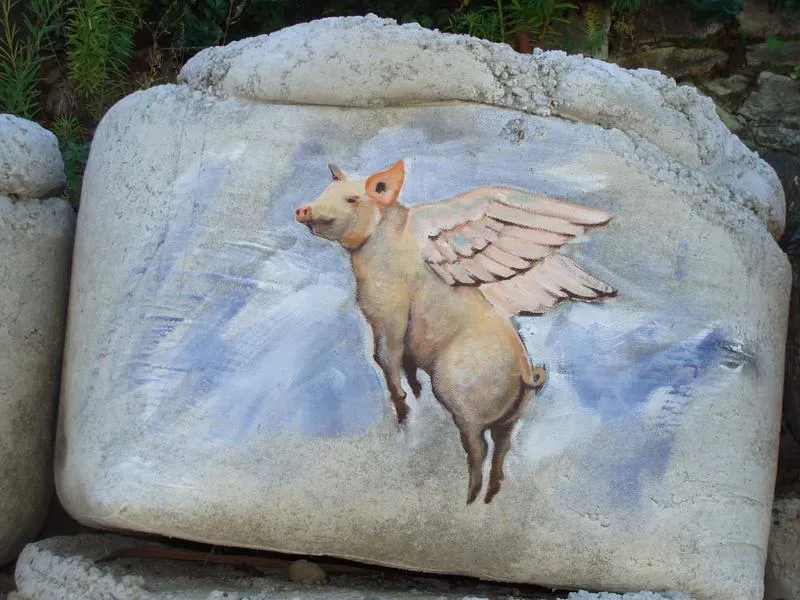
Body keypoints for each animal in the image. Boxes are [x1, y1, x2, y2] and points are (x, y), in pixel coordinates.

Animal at [295, 159, 616, 504]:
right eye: (326, 190)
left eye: (352, 199)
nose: (302, 208)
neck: (379, 242)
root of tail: (524, 372)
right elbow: (401, 360)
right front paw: (413, 395)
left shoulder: (388, 306)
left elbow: (384, 355)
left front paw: (403, 409)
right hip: (512, 417)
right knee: (503, 446)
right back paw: (489, 495)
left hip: (462, 398)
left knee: (480, 447)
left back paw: (471, 498)